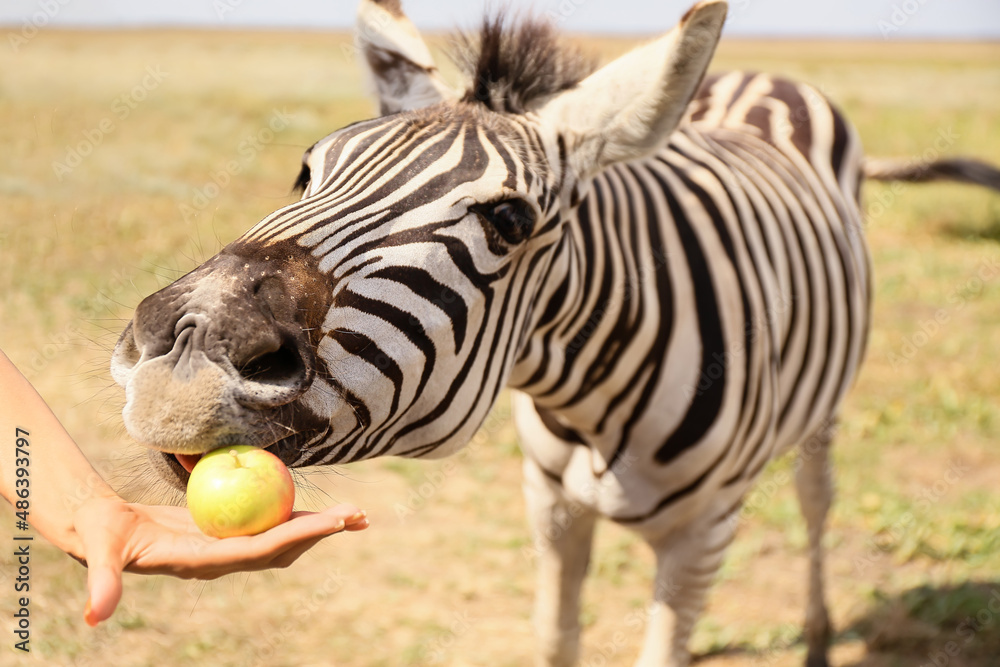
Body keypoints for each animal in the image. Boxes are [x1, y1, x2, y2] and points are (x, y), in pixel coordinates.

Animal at [109, 0, 1000, 664]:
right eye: (306, 171)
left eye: (510, 221)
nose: (182, 346)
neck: (592, 400)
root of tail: (764, 75)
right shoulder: (550, 503)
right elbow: (555, 636)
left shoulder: (703, 534)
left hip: (824, 406)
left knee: (817, 500)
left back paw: (816, 635)